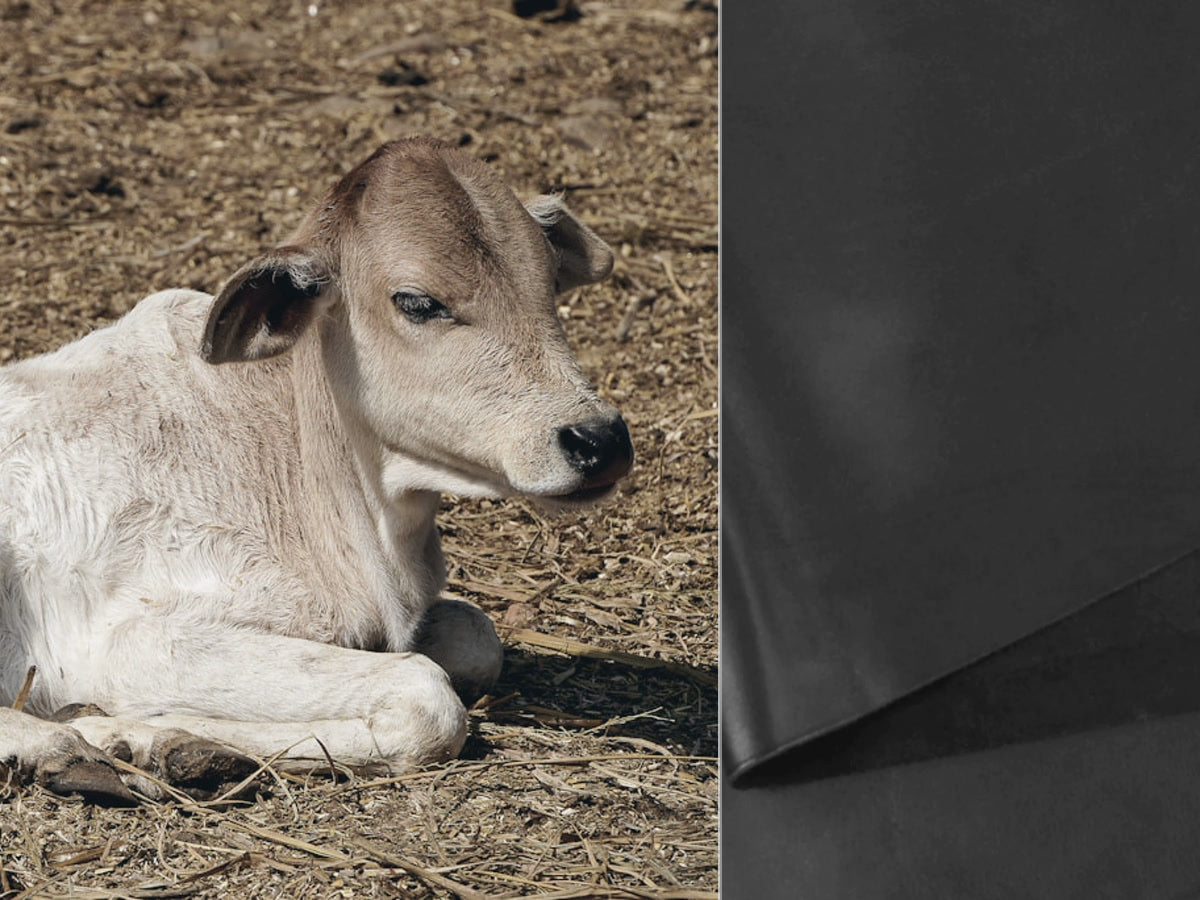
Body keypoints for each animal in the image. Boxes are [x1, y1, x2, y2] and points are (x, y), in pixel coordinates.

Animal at [0, 136, 633, 803]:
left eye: (549, 281)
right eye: (418, 302)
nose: (601, 440)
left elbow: (477, 637)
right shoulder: (132, 641)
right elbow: (427, 700)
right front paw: (138, 737)